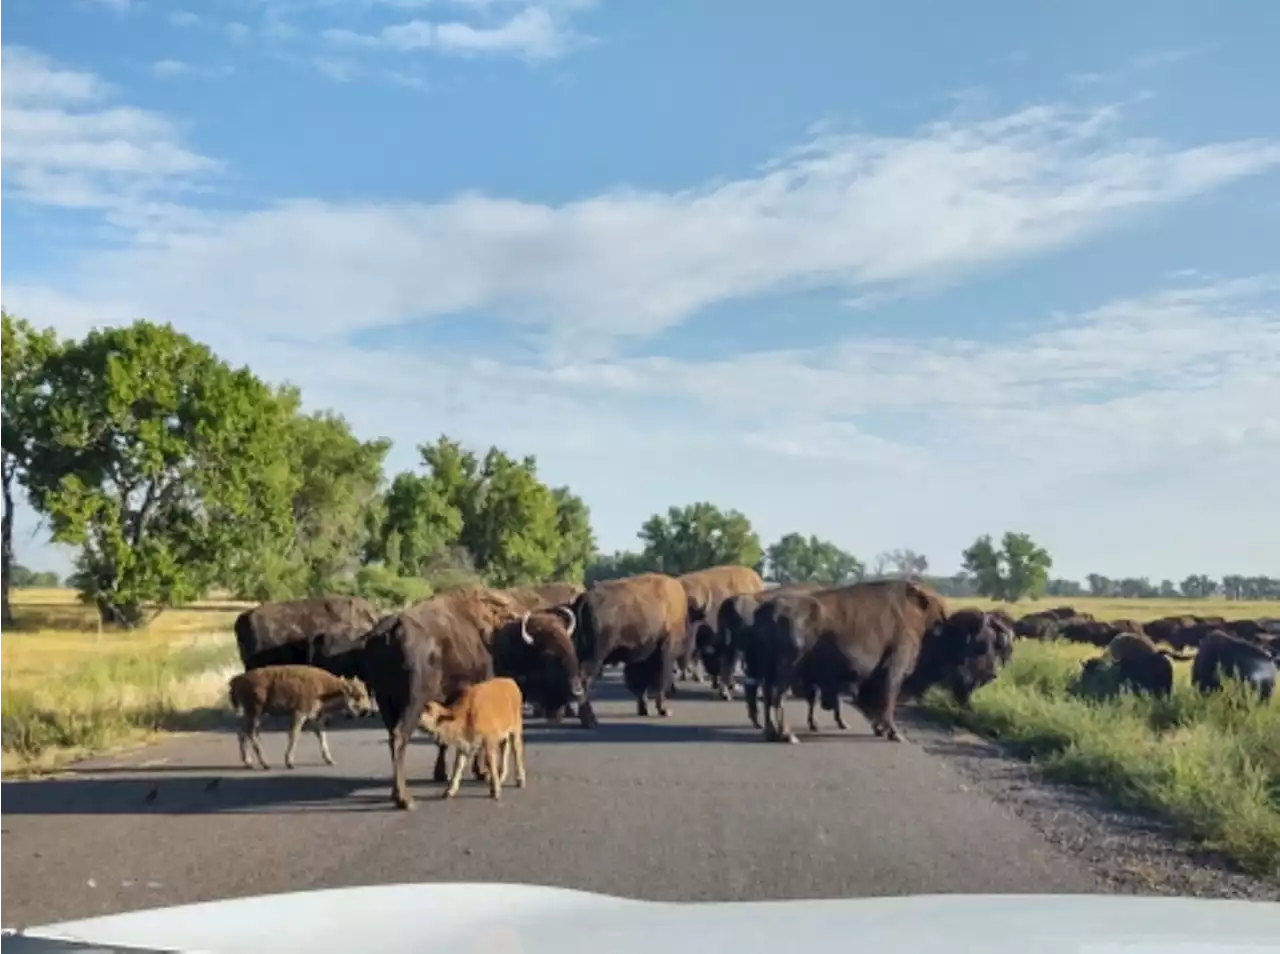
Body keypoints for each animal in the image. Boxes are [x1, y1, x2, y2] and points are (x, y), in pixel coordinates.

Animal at [229, 665, 373, 768]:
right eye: (358, 696)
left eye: (365, 693)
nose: (367, 710)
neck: (325, 689)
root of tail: (237, 680)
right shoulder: (299, 713)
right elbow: (294, 735)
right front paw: (289, 762)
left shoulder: (316, 718)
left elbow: (322, 737)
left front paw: (330, 760)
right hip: (256, 713)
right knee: (250, 733)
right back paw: (265, 764)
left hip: (250, 714)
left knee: (241, 732)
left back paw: (248, 762)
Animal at [360, 583, 581, 809]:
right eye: (548, 654)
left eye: (570, 646)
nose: (577, 691)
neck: (498, 638)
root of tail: (391, 627)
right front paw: (482, 772)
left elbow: (444, 739)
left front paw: (442, 773)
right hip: (412, 704)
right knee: (399, 737)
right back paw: (405, 799)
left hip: (385, 702)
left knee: (392, 739)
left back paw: (397, 793)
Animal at [747, 581, 1008, 742]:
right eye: (981, 646)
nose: (992, 674)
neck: (933, 627)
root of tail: (766, 608)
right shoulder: (895, 670)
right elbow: (888, 701)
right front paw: (893, 733)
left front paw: (880, 729)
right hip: (785, 671)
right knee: (776, 697)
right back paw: (787, 735)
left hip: (769, 671)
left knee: (768, 697)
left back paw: (772, 733)